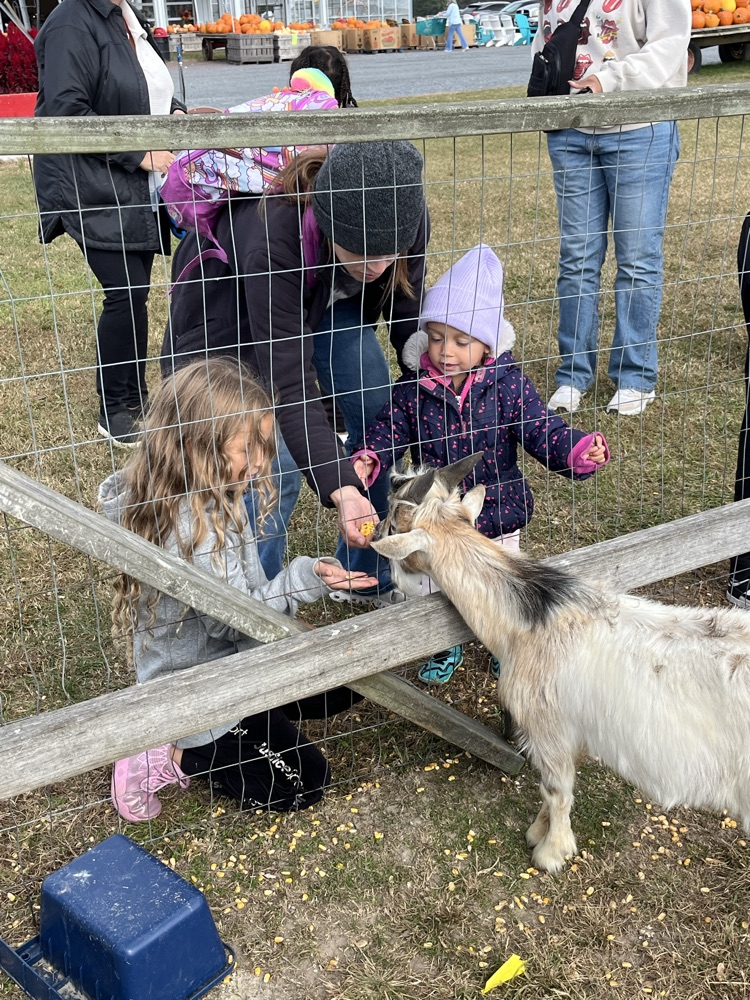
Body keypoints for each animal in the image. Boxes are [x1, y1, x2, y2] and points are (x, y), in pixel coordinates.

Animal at [370, 454, 750, 873]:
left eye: (392, 525)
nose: (388, 583)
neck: (534, 618)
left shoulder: (546, 724)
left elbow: (555, 789)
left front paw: (551, 851)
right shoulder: (573, 730)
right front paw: (540, 829)